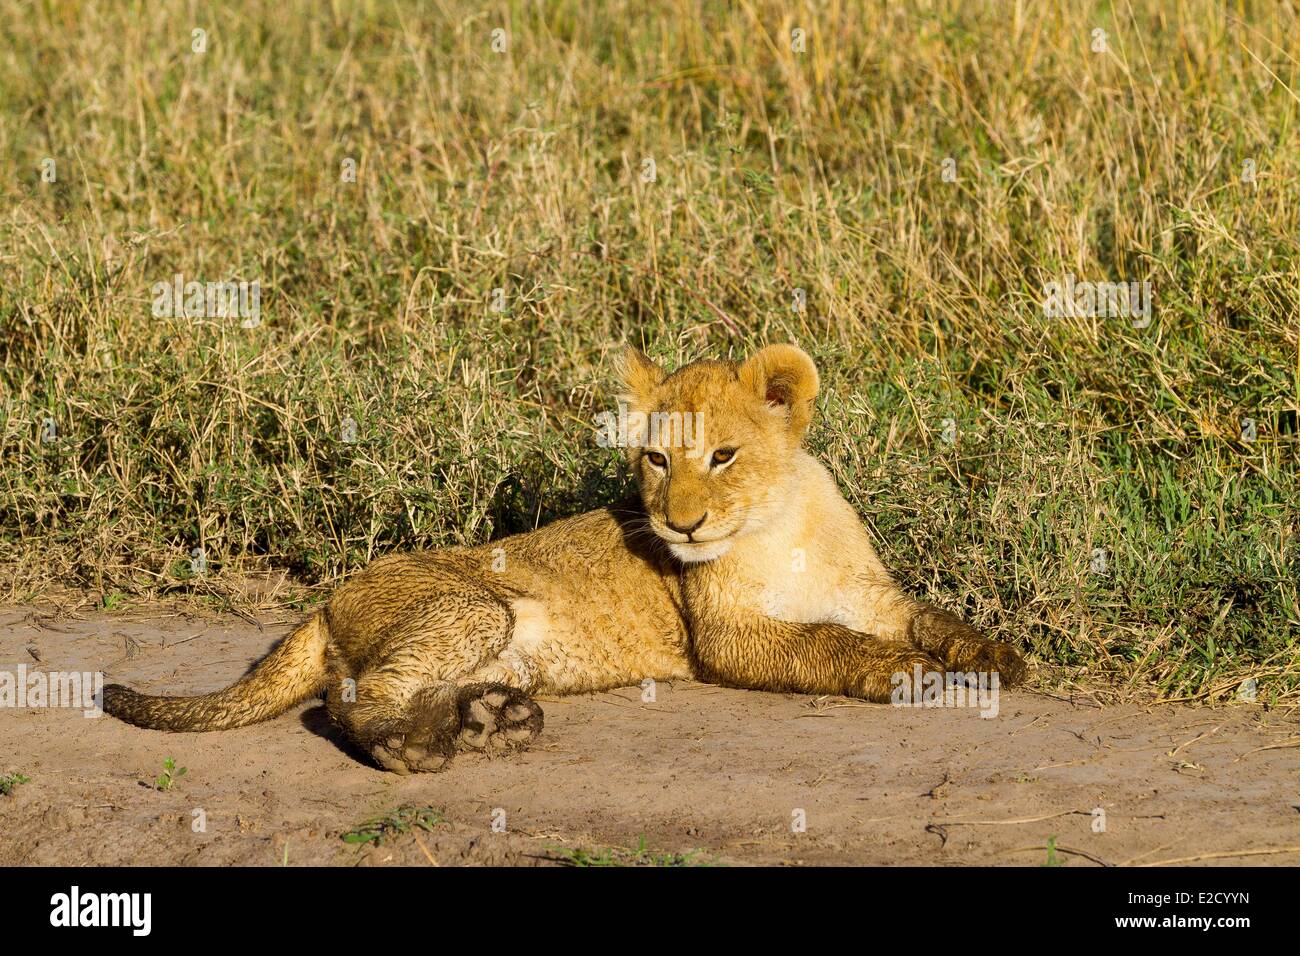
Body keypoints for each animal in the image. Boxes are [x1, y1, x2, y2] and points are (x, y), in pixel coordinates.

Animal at [104, 344, 1026, 772]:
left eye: (722, 456)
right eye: (656, 459)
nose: (681, 526)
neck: (780, 522)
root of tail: (326, 600)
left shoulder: (872, 592)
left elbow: (927, 615)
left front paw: (996, 654)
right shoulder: (726, 639)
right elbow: (825, 643)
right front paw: (903, 671)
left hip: (500, 647)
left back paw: (490, 719)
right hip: (472, 603)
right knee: (346, 695)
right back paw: (415, 749)